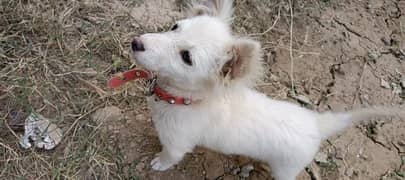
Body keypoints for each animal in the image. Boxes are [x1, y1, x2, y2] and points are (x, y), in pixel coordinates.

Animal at [129, 0, 400, 179]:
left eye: (186, 57)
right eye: (175, 27)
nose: (136, 43)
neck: (184, 100)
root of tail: (318, 124)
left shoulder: (177, 145)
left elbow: (169, 156)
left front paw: (159, 163)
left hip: (286, 170)